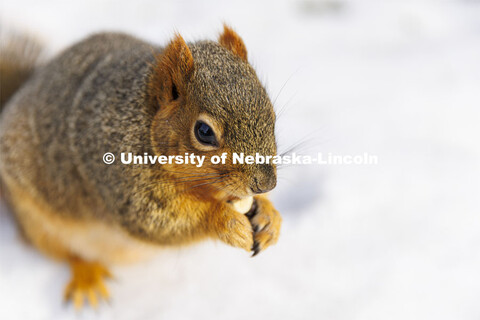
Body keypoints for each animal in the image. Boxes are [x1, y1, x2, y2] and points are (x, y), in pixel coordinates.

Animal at [0, 25, 284, 308]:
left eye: (271, 113)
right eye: (204, 132)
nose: (266, 184)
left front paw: (269, 216)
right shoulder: (120, 175)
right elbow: (158, 221)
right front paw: (226, 221)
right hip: (37, 220)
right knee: (68, 253)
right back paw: (87, 276)